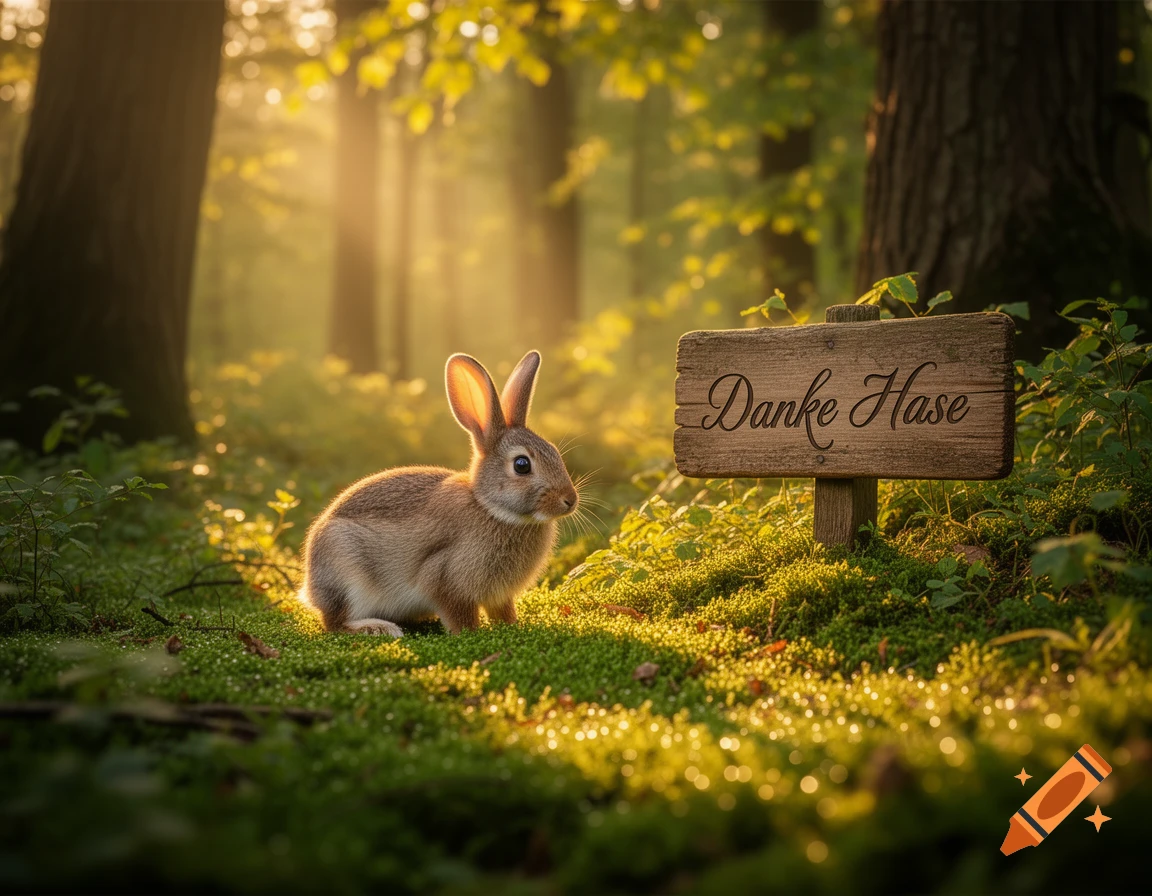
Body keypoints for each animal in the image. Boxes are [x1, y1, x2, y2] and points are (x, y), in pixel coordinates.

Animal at [300, 350, 578, 637]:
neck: (489, 507)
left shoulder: (499, 596)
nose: (570, 500)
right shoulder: (444, 578)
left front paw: (512, 625)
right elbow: (458, 614)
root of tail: (309, 588)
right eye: (522, 465)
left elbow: (503, 611)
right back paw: (379, 628)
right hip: (344, 568)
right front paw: (470, 633)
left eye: (555, 451)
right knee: (334, 622)